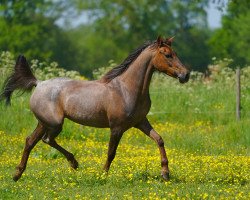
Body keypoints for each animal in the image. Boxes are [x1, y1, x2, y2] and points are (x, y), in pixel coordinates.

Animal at [0, 36, 189, 181]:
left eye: (176, 53)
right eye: (167, 54)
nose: (185, 75)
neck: (126, 89)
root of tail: (38, 83)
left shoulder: (141, 122)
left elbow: (159, 139)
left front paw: (165, 173)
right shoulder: (117, 127)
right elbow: (111, 152)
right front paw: (103, 175)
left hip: (44, 123)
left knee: (32, 141)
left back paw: (18, 174)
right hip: (54, 123)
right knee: (45, 140)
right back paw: (72, 163)